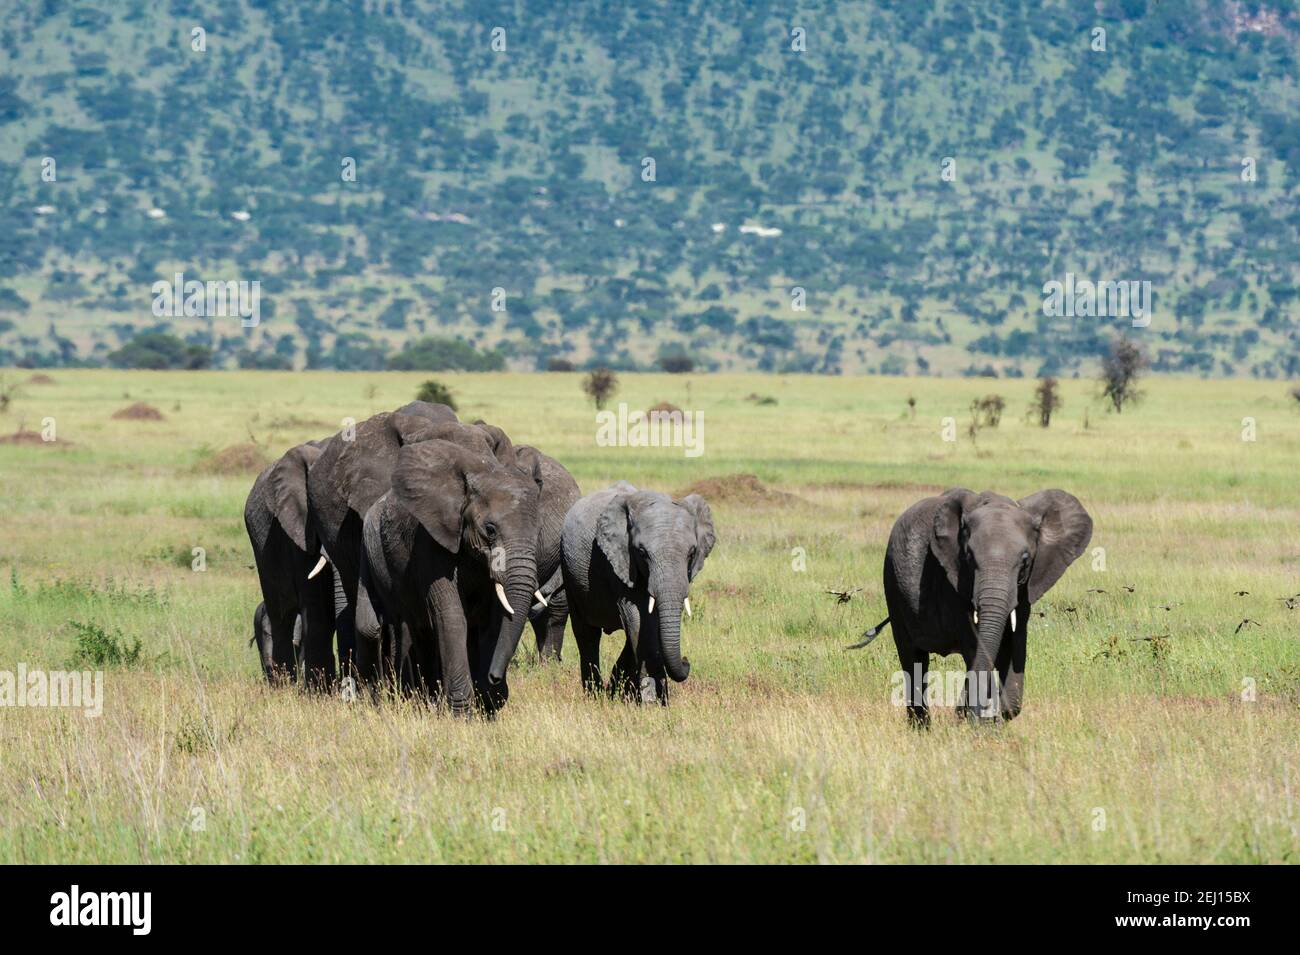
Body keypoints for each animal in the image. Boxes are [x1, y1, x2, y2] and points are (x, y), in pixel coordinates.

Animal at [364, 433, 546, 717]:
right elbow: (450, 616)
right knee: (413, 627)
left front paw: (488, 705)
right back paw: (424, 701)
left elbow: (495, 618)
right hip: (380, 562)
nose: (495, 677)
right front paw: (462, 715)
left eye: (538, 531)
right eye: (490, 529)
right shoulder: (430, 541)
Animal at [559, 485, 717, 701]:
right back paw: (595, 696)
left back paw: (614, 691)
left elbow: (647, 625)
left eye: (692, 553)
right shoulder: (619, 562)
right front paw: (652, 703)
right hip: (569, 573)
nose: (686, 661)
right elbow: (636, 618)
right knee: (587, 635)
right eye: (642, 553)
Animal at [857, 485, 1092, 722]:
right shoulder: (953, 583)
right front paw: (976, 719)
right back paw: (920, 727)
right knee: (913, 659)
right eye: (969, 557)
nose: (957, 711)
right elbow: (976, 646)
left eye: (1025, 561)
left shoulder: (1025, 588)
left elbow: (1015, 642)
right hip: (892, 585)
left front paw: (997, 715)